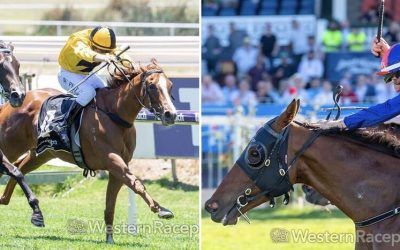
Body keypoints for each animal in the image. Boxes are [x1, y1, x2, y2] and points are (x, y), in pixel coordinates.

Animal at [0, 59, 177, 243]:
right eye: (152, 86)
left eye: (170, 85)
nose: (170, 114)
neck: (114, 114)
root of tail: (10, 103)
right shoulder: (112, 160)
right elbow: (137, 184)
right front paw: (161, 210)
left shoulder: (118, 166)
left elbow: (111, 203)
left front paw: (109, 239)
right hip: (11, 144)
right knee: (12, 166)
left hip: (42, 153)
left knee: (19, 167)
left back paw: (10, 202)